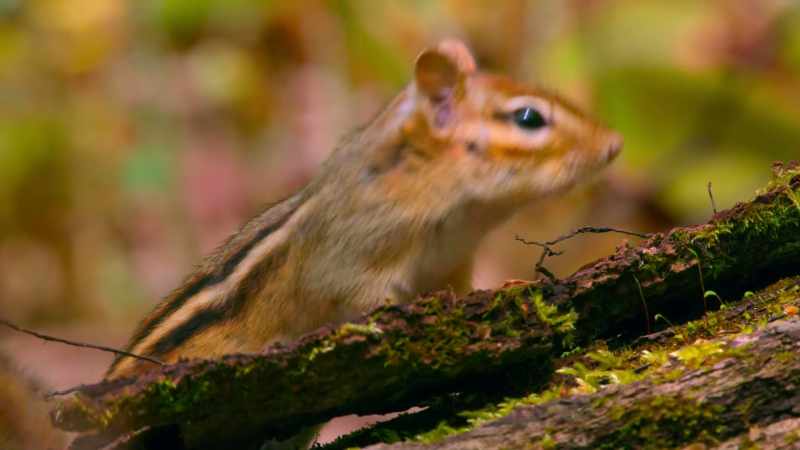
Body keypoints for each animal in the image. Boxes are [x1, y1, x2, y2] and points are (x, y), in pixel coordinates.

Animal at [106, 39, 622, 380]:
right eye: (529, 117)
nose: (615, 144)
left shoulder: (451, 261)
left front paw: (508, 286)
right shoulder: (350, 259)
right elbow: (361, 299)